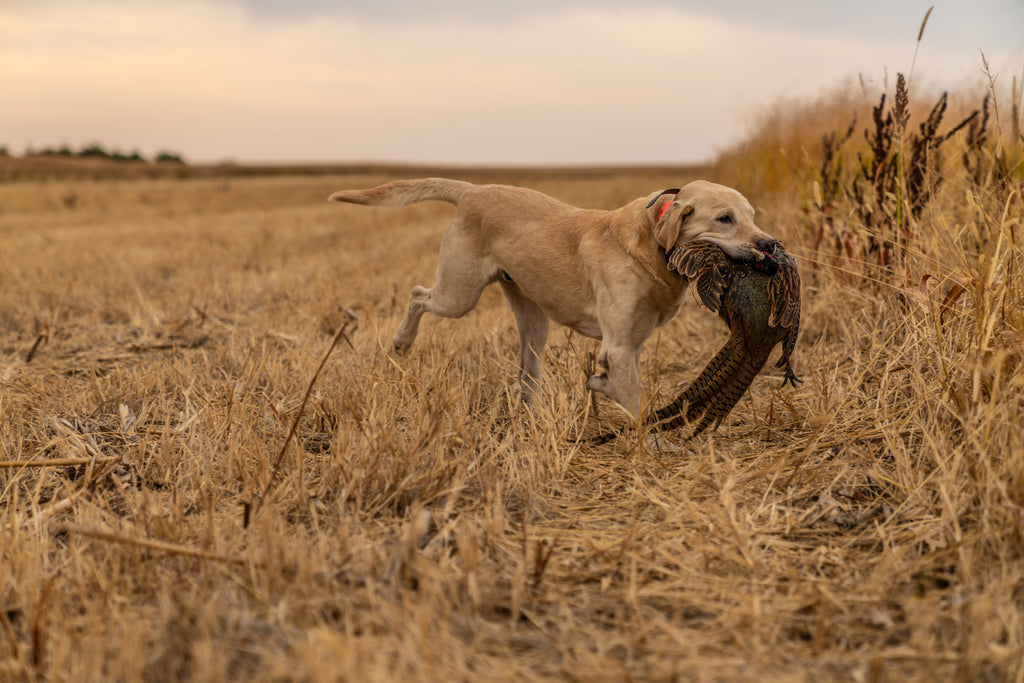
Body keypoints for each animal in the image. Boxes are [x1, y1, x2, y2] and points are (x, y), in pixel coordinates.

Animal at [327, 176, 774, 419]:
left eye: (752, 216)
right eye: (724, 219)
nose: (768, 244)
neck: (651, 242)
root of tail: (473, 190)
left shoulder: (632, 344)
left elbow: (627, 388)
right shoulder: (619, 346)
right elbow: (632, 400)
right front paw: (649, 439)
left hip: (533, 321)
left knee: (527, 375)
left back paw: (533, 413)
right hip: (458, 294)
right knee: (419, 295)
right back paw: (402, 341)